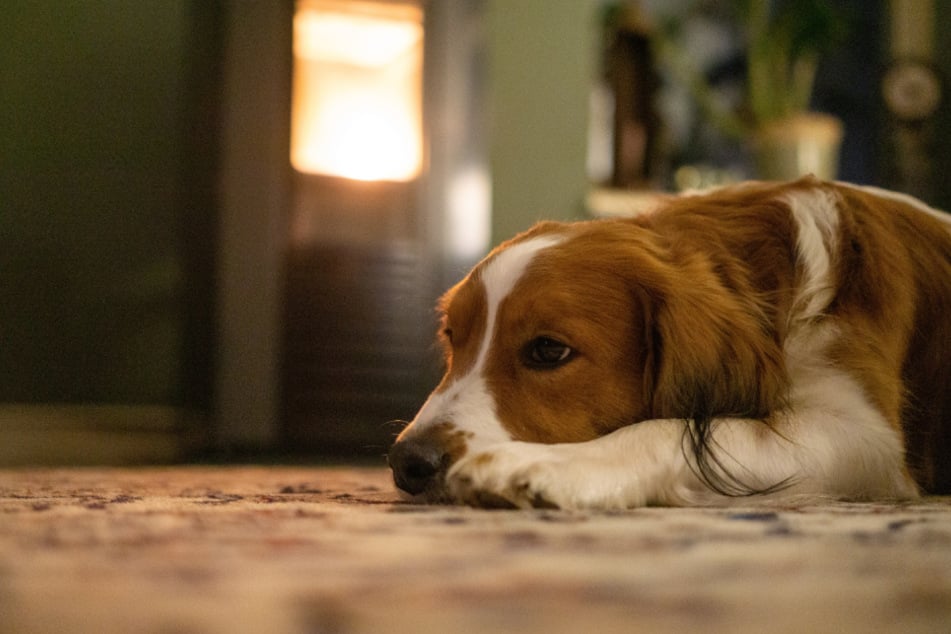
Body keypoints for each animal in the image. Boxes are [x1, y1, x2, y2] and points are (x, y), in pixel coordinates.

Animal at [386, 178, 951, 508]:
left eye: (548, 351)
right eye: (453, 338)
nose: (407, 462)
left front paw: (541, 464)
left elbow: (663, 429)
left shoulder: (865, 439)